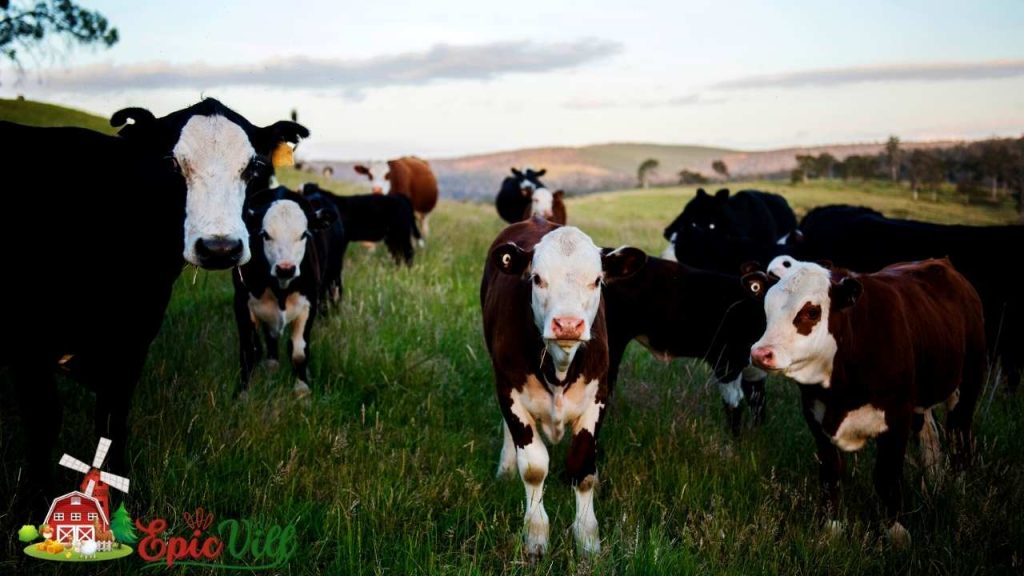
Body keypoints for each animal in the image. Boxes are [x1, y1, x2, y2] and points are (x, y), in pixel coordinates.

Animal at [0, 98, 308, 514]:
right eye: (170, 163)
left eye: (255, 168)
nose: (220, 248)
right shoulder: (29, 348)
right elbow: (45, 420)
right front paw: (37, 505)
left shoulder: (132, 344)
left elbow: (112, 423)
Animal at [233, 187, 339, 398]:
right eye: (265, 234)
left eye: (304, 234)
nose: (285, 268)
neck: (280, 289)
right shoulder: (241, 303)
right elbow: (249, 349)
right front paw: (243, 393)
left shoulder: (309, 304)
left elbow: (299, 351)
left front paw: (302, 389)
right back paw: (271, 365)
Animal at [481, 217, 646, 558]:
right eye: (537, 279)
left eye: (597, 280)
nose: (567, 324)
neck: (558, 367)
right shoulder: (509, 390)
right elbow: (533, 467)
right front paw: (535, 537)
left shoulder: (597, 397)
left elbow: (582, 468)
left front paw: (587, 540)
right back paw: (505, 468)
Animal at [603, 256, 768, 434]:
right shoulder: (726, 362)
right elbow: (734, 404)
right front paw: (734, 439)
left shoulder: (754, 371)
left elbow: (758, 403)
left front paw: (756, 435)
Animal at [744, 258, 985, 545]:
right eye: (766, 308)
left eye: (812, 312)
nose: (761, 353)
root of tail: (940, 262)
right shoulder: (815, 415)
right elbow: (831, 472)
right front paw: (832, 528)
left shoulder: (897, 417)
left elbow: (886, 475)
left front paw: (896, 533)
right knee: (930, 437)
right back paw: (935, 483)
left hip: (968, 383)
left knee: (960, 434)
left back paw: (958, 487)